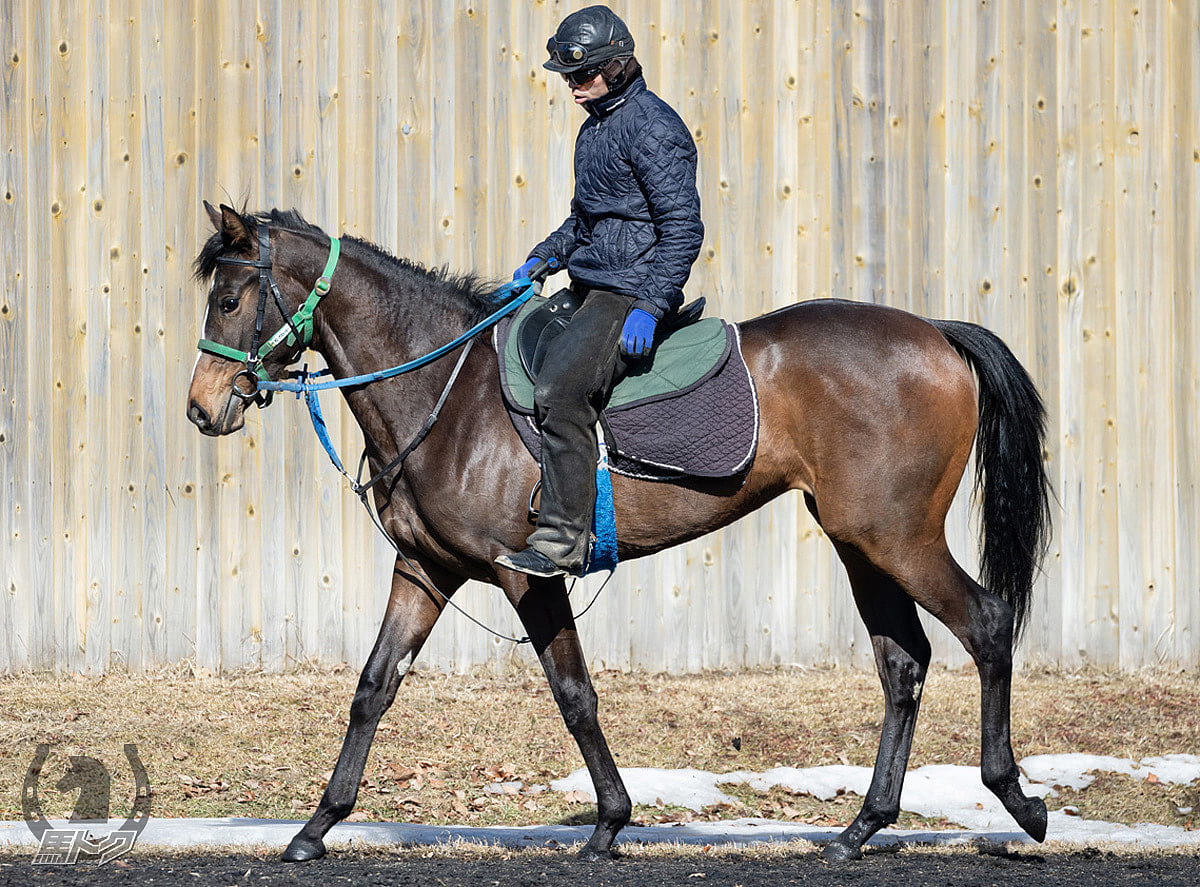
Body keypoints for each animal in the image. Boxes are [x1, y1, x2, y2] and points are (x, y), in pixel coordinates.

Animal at [187, 205, 1051, 864]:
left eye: (229, 300)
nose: (202, 408)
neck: (446, 392)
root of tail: (935, 333)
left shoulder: (527, 574)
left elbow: (574, 694)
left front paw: (609, 822)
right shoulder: (425, 570)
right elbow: (373, 687)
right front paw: (315, 827)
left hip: (900, 537)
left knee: (987, 623)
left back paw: (1016, 797)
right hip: (861, 541)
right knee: (904, 664)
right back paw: (860, 827)